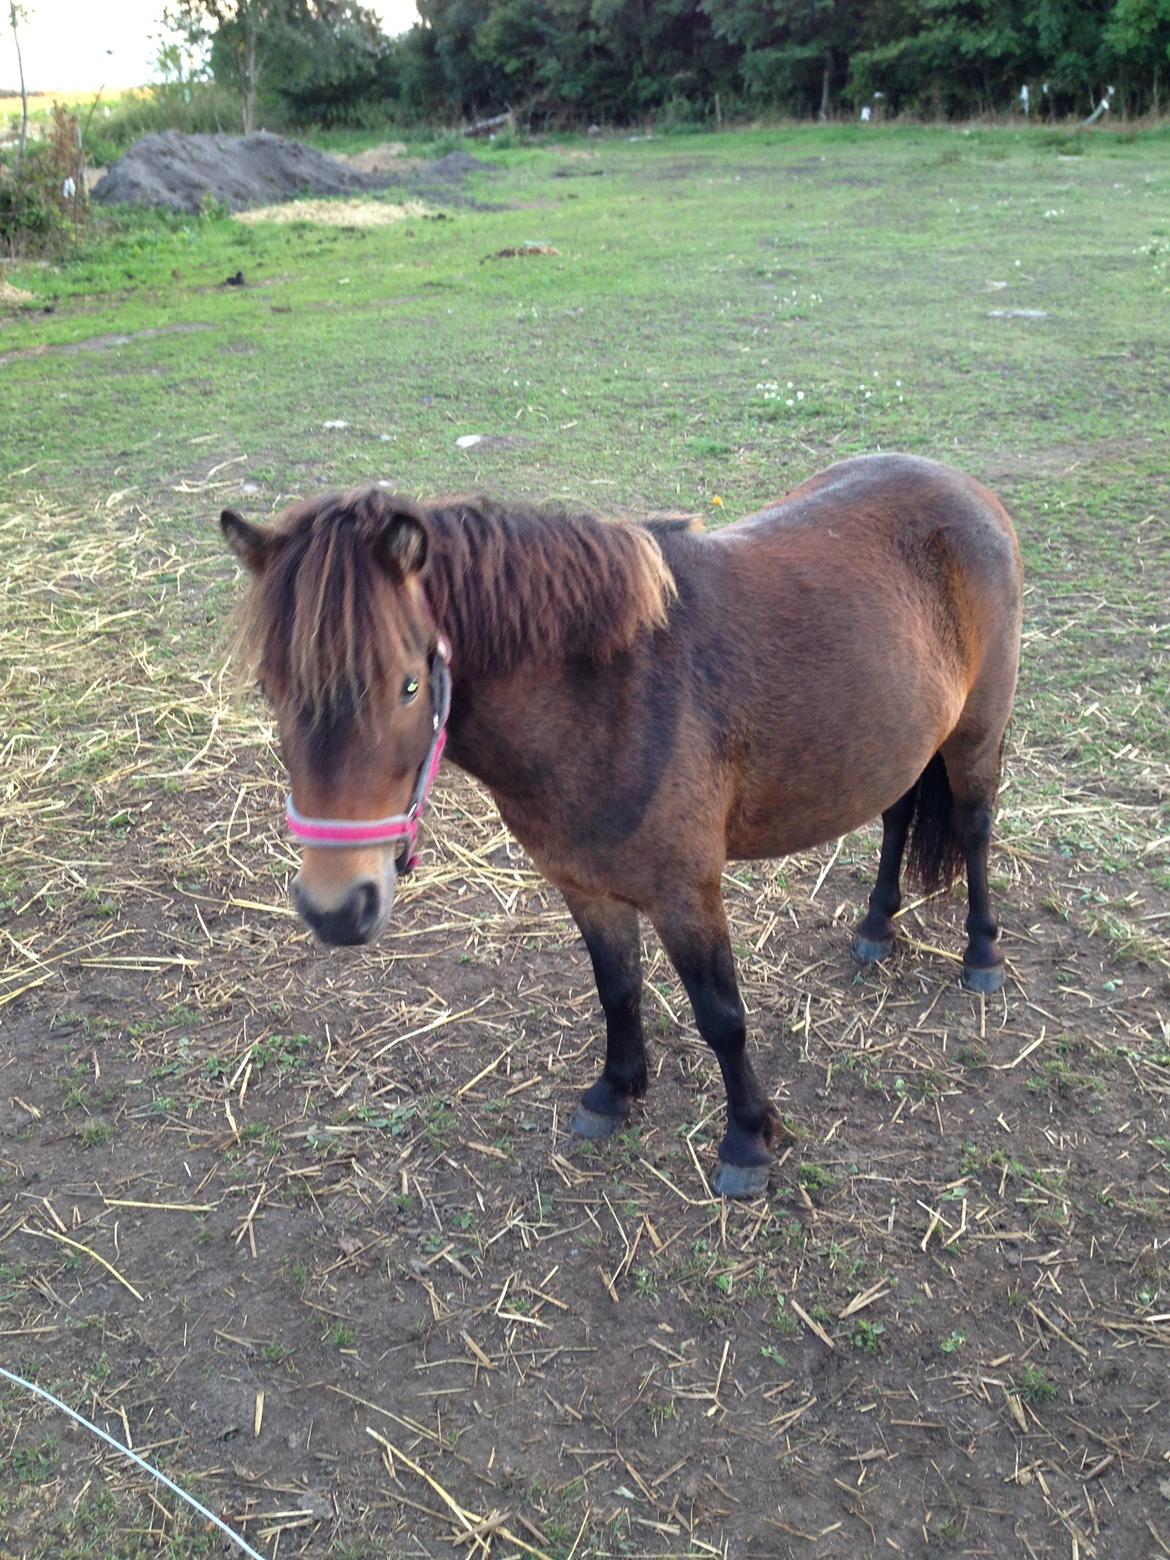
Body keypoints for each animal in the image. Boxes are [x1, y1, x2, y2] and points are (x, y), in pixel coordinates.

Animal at [221, 455, 1023, 1198]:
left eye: (409, 686)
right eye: (268, 687)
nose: (336, 909)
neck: (606, 699)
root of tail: (964, 488)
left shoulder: (687, 894)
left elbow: (721, 1015)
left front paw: (747, 1140)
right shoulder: (586, 887)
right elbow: (618, 988)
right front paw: (616, 1091)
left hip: (974, 736)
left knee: (975, 829)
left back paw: (981, 954)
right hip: (900, 745)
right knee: (896, 818)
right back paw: (877, 927)